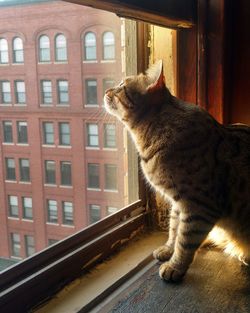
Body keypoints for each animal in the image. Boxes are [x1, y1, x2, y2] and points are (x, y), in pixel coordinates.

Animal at [103, 59, 250, 282]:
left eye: (122, 85)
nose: (106, 90)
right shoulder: (178, 203)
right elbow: (174, 230)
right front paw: (168, 250)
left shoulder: (199, 206)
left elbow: (185, 240)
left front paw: (176, 266)